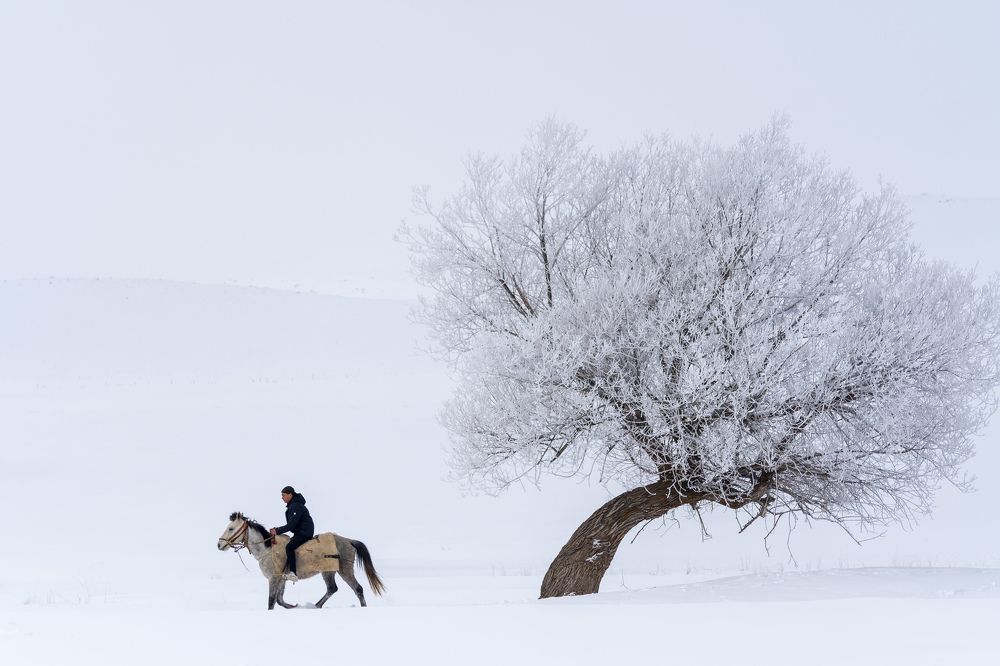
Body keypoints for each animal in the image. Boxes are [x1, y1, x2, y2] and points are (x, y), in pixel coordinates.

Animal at [217, 512, 385, 610]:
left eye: (231, 528)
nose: (219, 544)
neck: (267, 550)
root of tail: (349, 541)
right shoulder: (281, 579)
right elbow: (279, 600)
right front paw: (292, 606)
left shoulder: (273, 578)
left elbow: (271, 601)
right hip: (329, 572)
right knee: (332, 589)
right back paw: (316, 606)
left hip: (344, 571)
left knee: (358, 589)